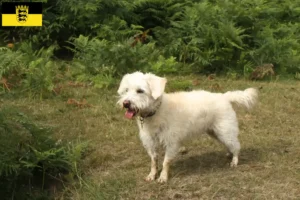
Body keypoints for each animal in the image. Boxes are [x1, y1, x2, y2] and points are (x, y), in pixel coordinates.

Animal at [117, 72, 258, 183]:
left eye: (140, 91)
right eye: (126, 90)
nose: (126, 103)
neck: (156, 111)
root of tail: (224, 96)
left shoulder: (171, 142)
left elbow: (165, 162)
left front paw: (163, 177)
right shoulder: (150, 142)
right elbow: (153, 161)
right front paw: (152, 175)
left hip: (225, 131)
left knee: (236, 145)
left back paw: (234, 160)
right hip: (216, 133)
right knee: (230, 144)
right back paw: (229, 153)